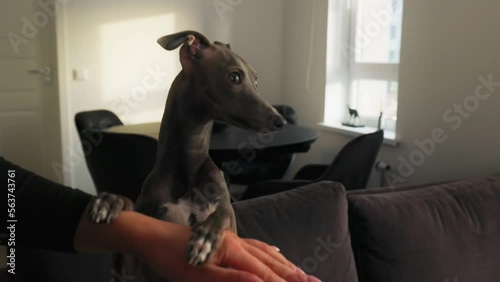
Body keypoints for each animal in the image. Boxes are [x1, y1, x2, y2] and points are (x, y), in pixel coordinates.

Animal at [88, 29, 288, 280]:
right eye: (234, 77)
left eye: (256, 79)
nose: (281, 121)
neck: (187, 164)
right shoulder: (133, 262)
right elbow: (130, 216)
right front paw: (112, 201)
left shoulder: (229, 222)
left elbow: (222, 215)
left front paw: (205, 238)